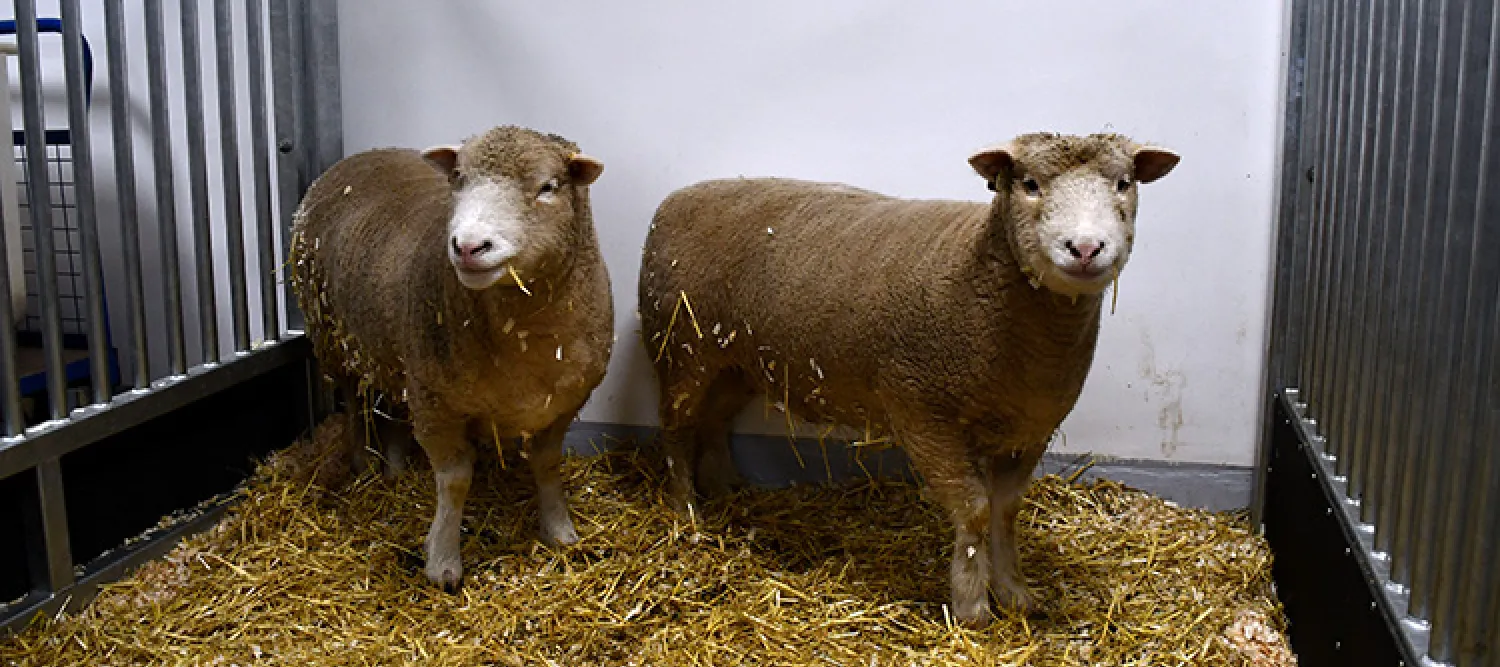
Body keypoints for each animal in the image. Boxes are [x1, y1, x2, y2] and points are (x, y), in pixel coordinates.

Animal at [289, 125, 614, 590]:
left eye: (548, 187)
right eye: (458, 178)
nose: (468, 246)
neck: (527, 337)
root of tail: (361, 154)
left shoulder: (564, 405)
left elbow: (547, 465)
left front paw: (559, 531)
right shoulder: (436, 406)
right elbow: (455, 482)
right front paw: (442, 560)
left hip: (396, 355)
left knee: (392, 409)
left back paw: (395, 467)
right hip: (334, 342)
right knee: (354, 404)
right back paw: (363, 463)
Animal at [636, 132, 1178, 627]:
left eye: (1124, 183)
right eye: (1029, 184)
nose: (1085, 247)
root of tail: (673, 199)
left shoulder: (1031, 429)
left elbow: (1005, 511)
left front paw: (1015, 593)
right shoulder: (924, 414)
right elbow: (975, 510)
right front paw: (972, 606)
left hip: (735, 363)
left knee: (714, 422)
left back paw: (725, 487)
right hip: (681, 350)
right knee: (677, 428)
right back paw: (686, 510)